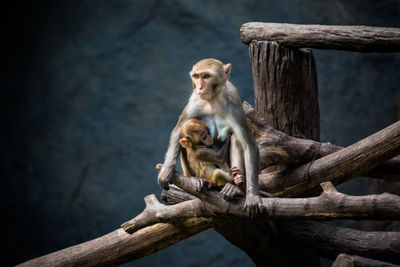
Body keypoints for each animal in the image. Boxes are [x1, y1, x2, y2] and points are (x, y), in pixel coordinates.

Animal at [158, 58, 260, 216]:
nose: (200, 87)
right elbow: (178, 131)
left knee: (237, 139)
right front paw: (167, 170)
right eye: (196, 76)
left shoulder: (233, 100)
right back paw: (196, 180)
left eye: (206, 76)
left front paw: (253, 195)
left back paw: (236, 186)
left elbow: (248, 144)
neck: (213, 98)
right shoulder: (195, 99)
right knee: (184, 144)